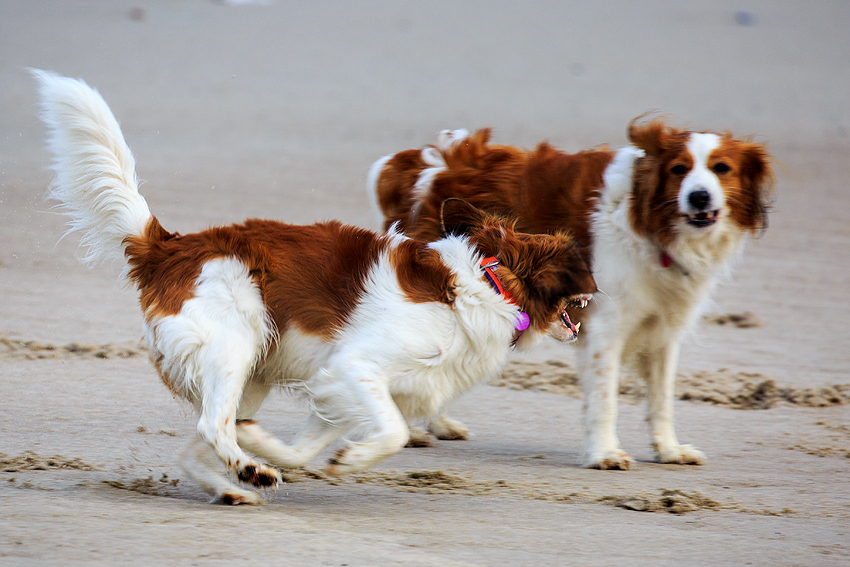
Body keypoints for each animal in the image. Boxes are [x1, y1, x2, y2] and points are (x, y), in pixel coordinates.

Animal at [34, 72, 596, 506]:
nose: (598, 293)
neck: (487, 282)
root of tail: (170, 247)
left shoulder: (339, 386)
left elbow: (303, 448)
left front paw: (276, 449)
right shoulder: (356, 367)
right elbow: (393, 432)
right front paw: (348, 461)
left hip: (251, 372)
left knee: (204, 435)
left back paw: (234, 484)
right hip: (233, 348)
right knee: (211, 426)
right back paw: (246, 471)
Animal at [368, 121, 772, 470]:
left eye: (721, 168)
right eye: (679, 169)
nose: (699, 196)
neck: (649, 225)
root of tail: (422, 161)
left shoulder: (663, 332)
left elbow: (661, 399)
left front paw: (669, 450)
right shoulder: (607, 328)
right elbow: (605, 398)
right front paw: (605, 453)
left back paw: (436, 422)